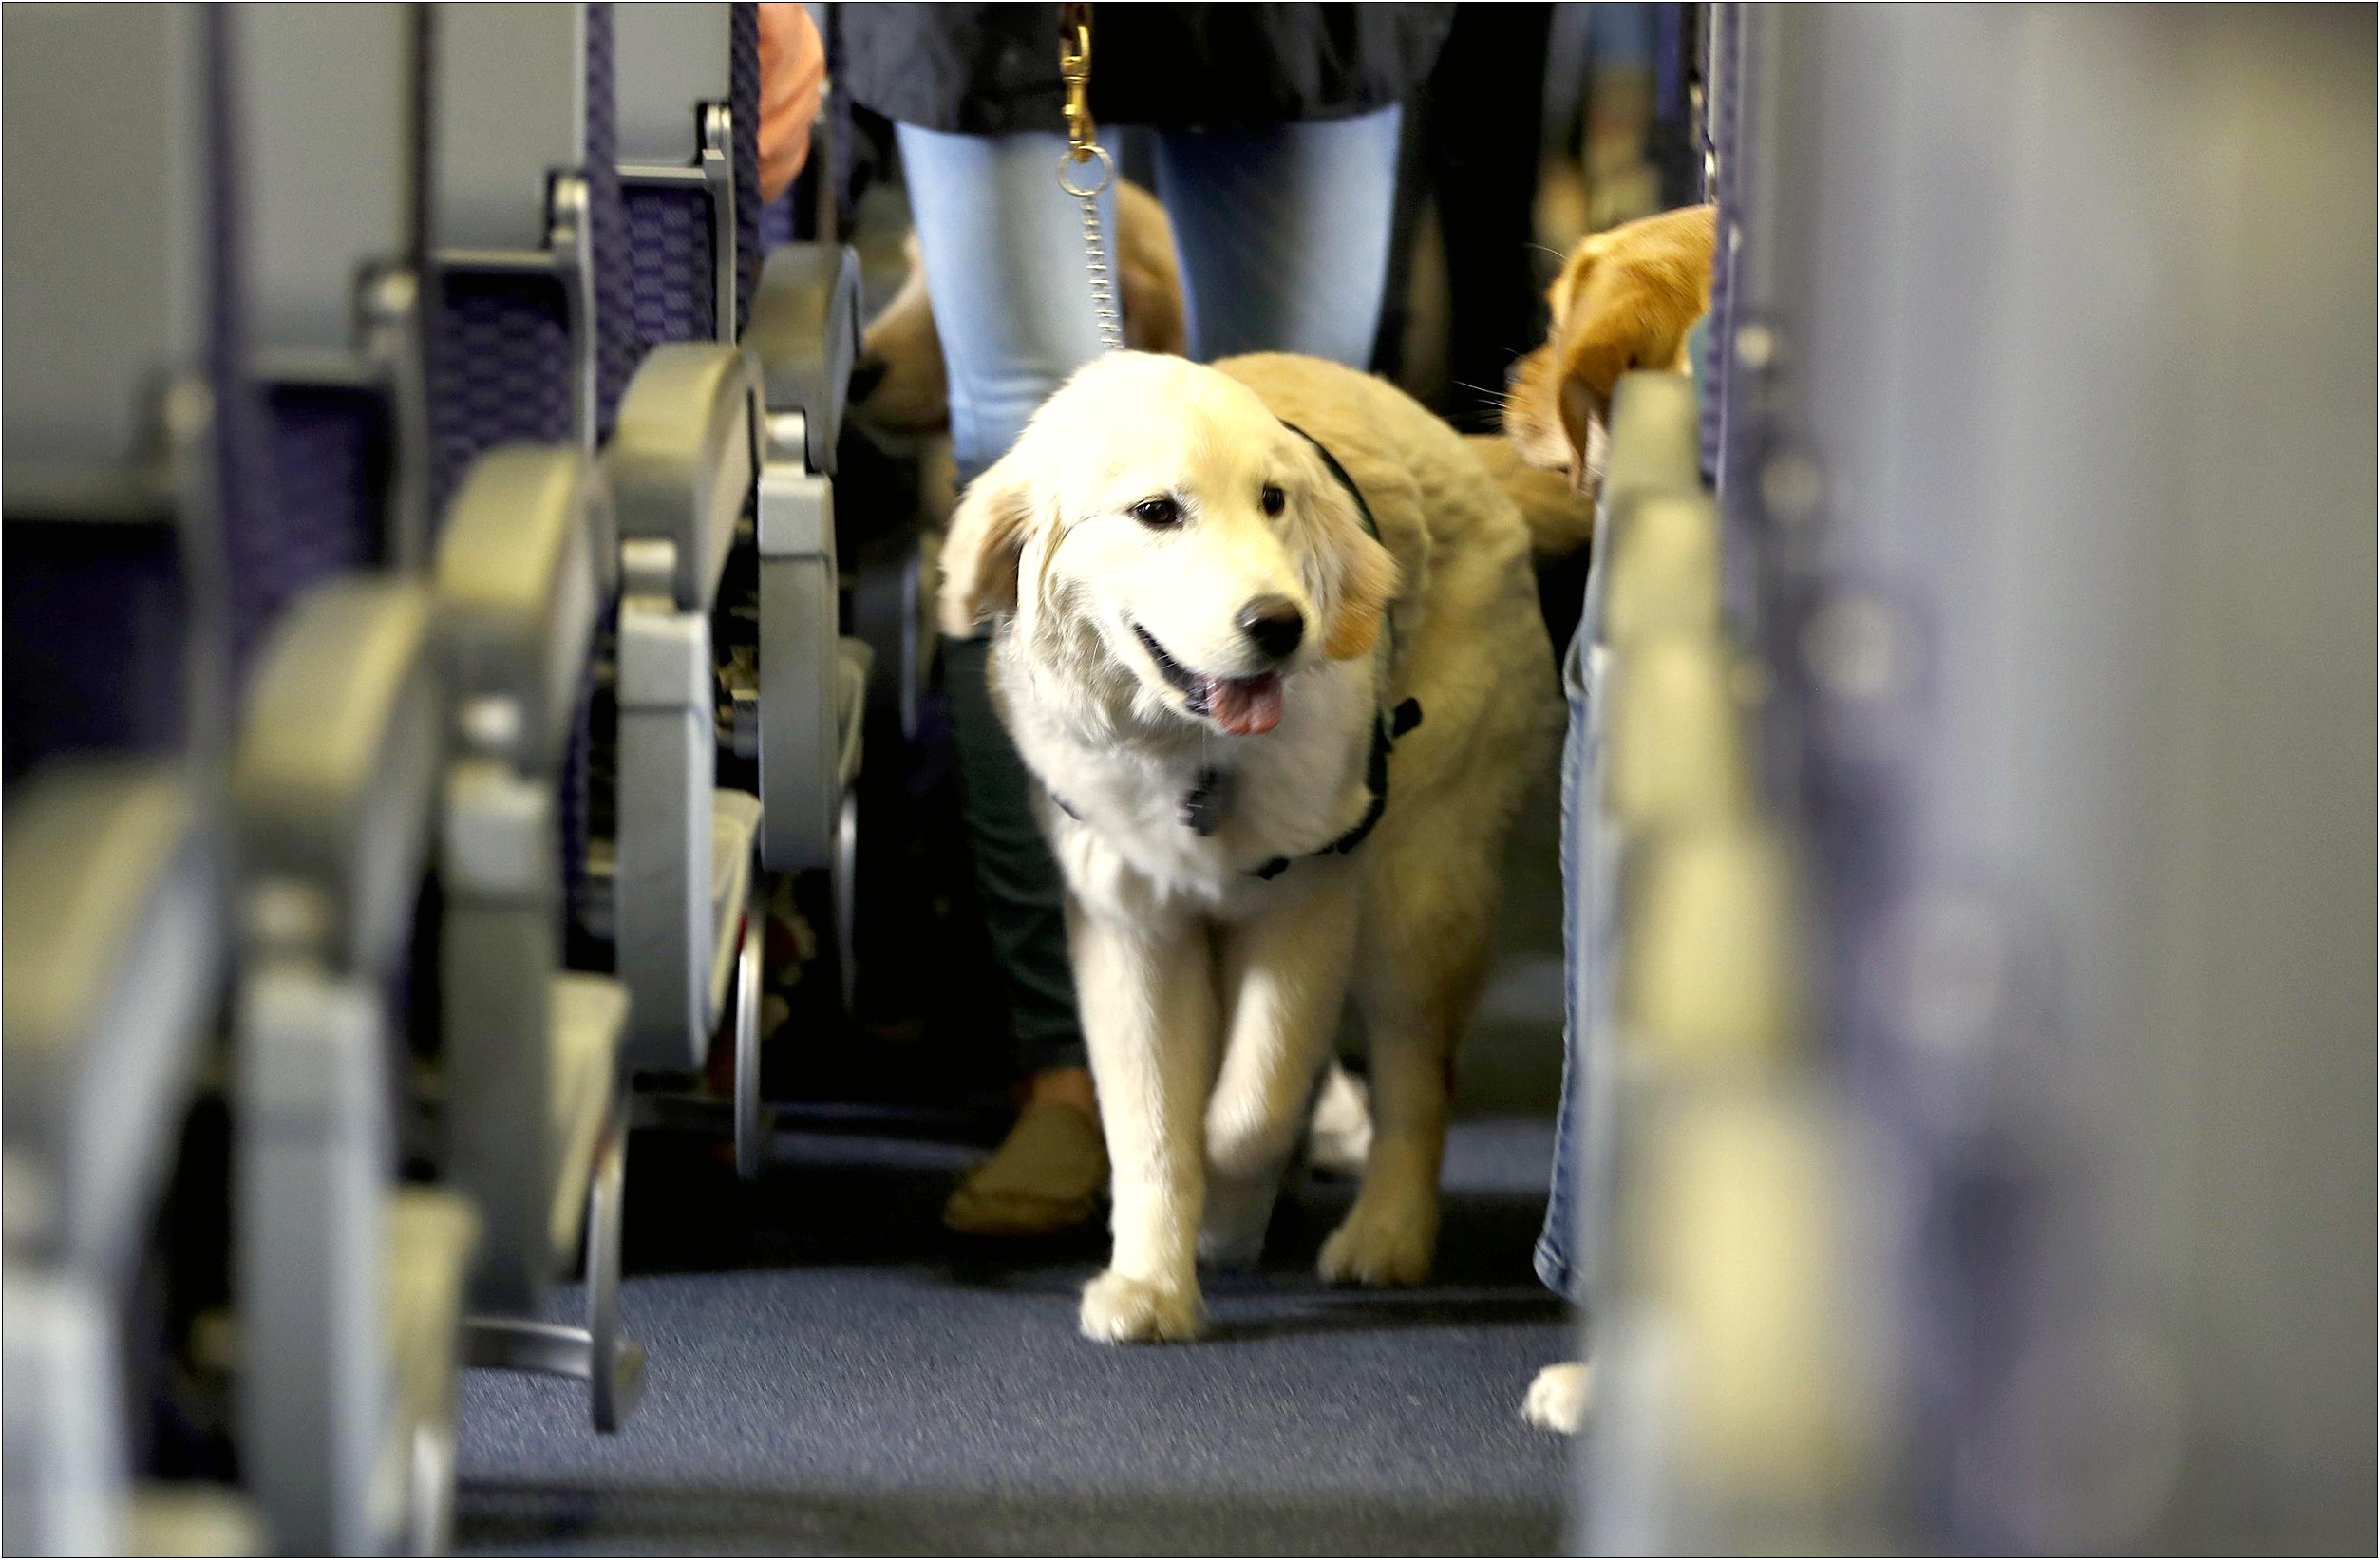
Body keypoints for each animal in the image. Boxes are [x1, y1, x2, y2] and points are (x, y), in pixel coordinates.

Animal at [937, 354, 1570, 1341]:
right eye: (1157, 511)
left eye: (1274, 500)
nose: (1280, 624)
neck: (1193, 757)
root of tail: (1460, 449)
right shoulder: (1129, 926)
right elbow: (1151, 1121)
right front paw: (1151, 1284)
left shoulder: (1308, 900)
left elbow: (1249, 1106)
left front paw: (1228, 1215)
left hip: (1420, 886)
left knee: (1416, 1080)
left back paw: (1385, 1234)